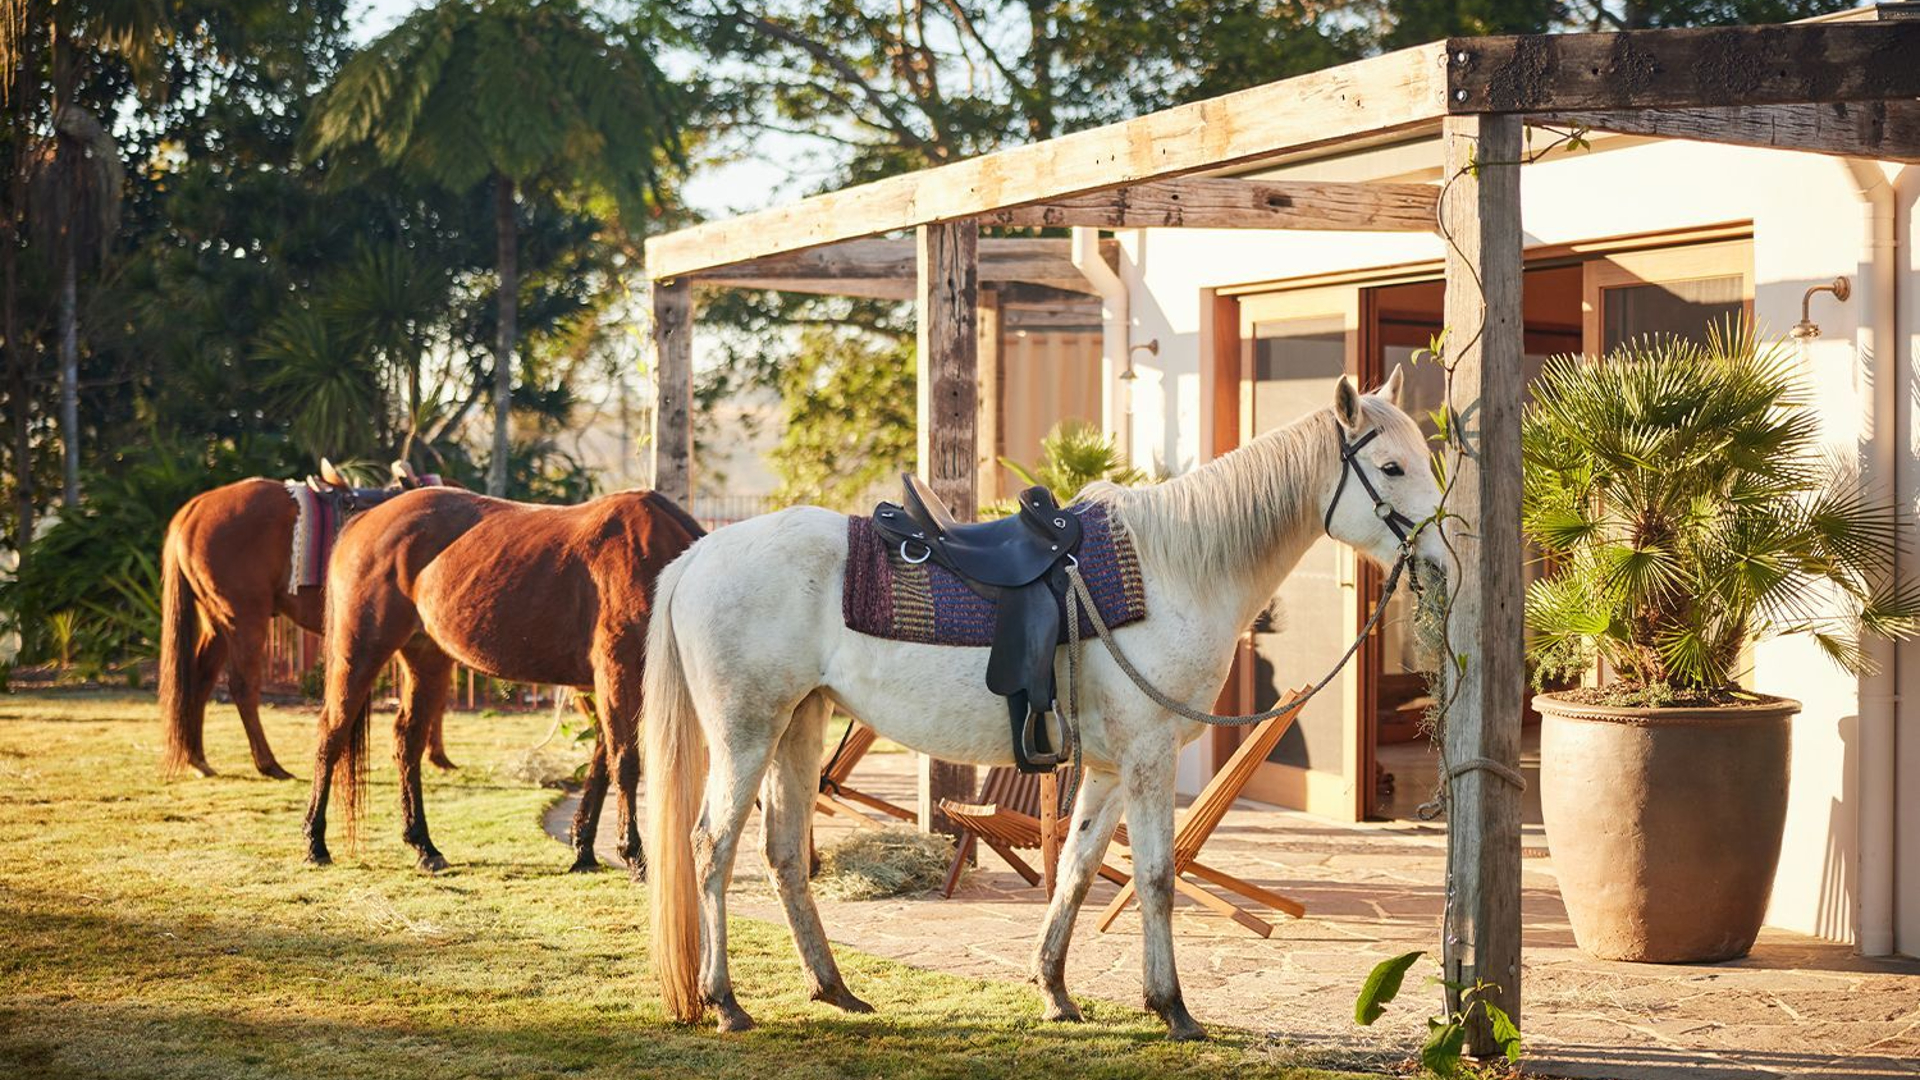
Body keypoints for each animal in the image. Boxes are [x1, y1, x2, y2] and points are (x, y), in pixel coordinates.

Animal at [157, 457, 449, 776]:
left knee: (201, 679)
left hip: (218, 622)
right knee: (243, 686)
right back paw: (268, 763)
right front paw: (437, 755)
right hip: (244, 618)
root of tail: (196, 507)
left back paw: (197, 758)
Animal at [305, 488, 706, 876]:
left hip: (426, 658)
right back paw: (316, 844)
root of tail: (364, 521)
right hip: (359, 652)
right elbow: (624, 762)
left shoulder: (605, 684)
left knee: (408, 739)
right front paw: (634, 855)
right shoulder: (616, 673)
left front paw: (584, 850)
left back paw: (424, 847)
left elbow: (602, 762)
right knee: (332, 733)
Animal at [641, 368, 1443, 1037]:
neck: (1173, 569)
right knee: (711, 848)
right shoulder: (1148, 760)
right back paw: (726, 1002)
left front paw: (1055, 991)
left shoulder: (1111, 769)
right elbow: (1156, 878)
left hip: (799, 729)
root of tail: (700, 555)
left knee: (782, 854)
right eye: (1391, 468)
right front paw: (1172, 1008)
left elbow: (1078, 869)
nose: (1437, 560)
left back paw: (834, 989)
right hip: (745, 734)